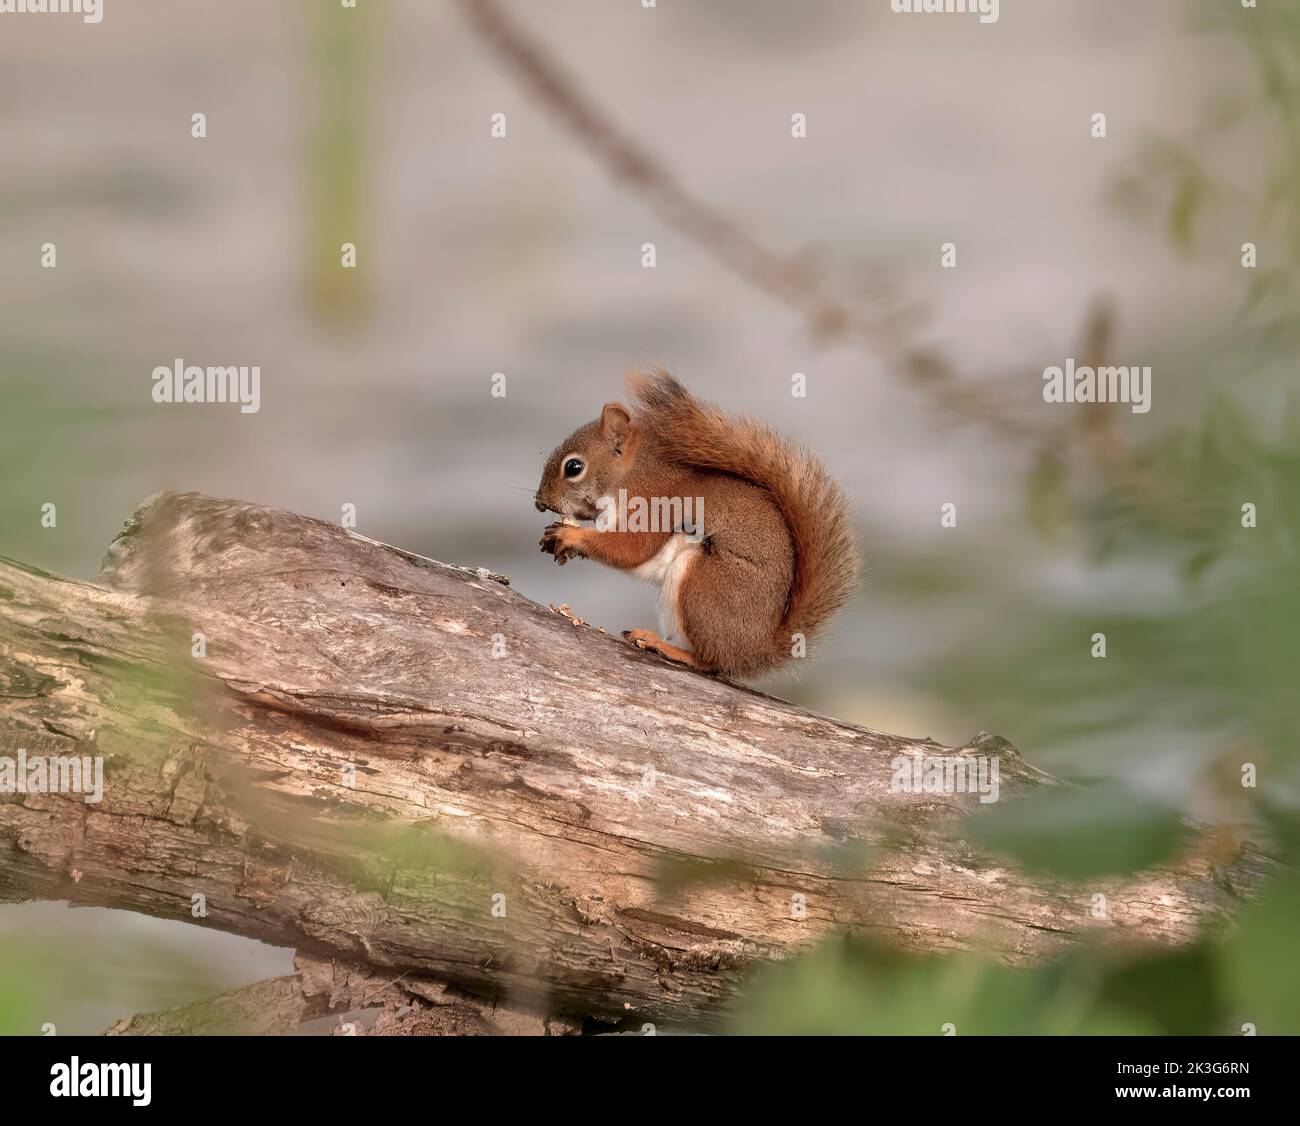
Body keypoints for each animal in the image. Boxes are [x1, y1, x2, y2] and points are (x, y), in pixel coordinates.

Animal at [533, 371, 857, 676]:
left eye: (574, 467)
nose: (539, 502)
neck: (629, 474)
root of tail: (755, 651)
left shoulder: (651, 507)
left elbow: (630, 549)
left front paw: (571, 536)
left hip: (703, 584)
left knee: (710, 661)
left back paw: (662, 645)